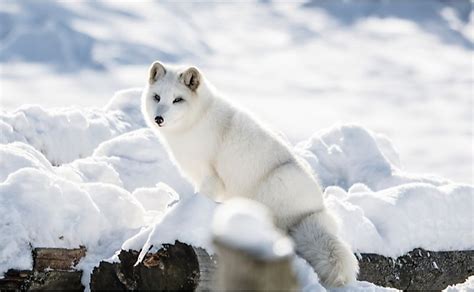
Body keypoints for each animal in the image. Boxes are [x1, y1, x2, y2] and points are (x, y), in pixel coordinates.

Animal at [143, 61, 358, 288]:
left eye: (178, 99)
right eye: (157, 97)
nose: (158, 119)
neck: (196, 121)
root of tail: (316, 210)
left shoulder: (210, 176)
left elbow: (200, 196)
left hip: (275, 183)